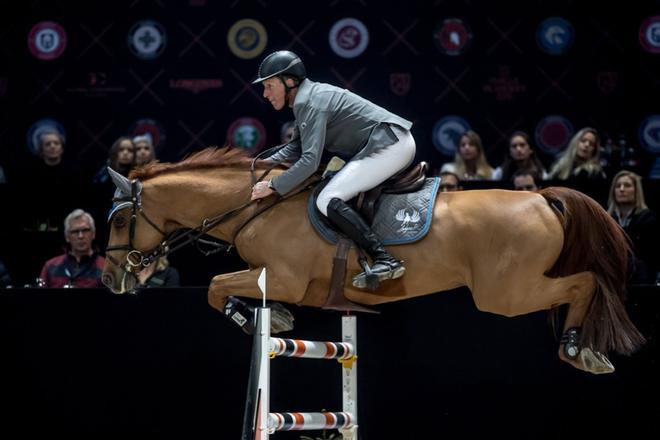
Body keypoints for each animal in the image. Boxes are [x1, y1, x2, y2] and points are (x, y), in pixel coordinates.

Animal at [102, 148, 644, 374]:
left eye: (118, 219)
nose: (109, 279)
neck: (257, 205)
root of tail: (541, 197)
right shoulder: (286, 280)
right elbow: (220, 286)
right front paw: (270, 317)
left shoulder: (285, 278)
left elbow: (217, 287)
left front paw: (265, 317)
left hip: (507, 293)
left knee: (585, 283)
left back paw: (578, 349)